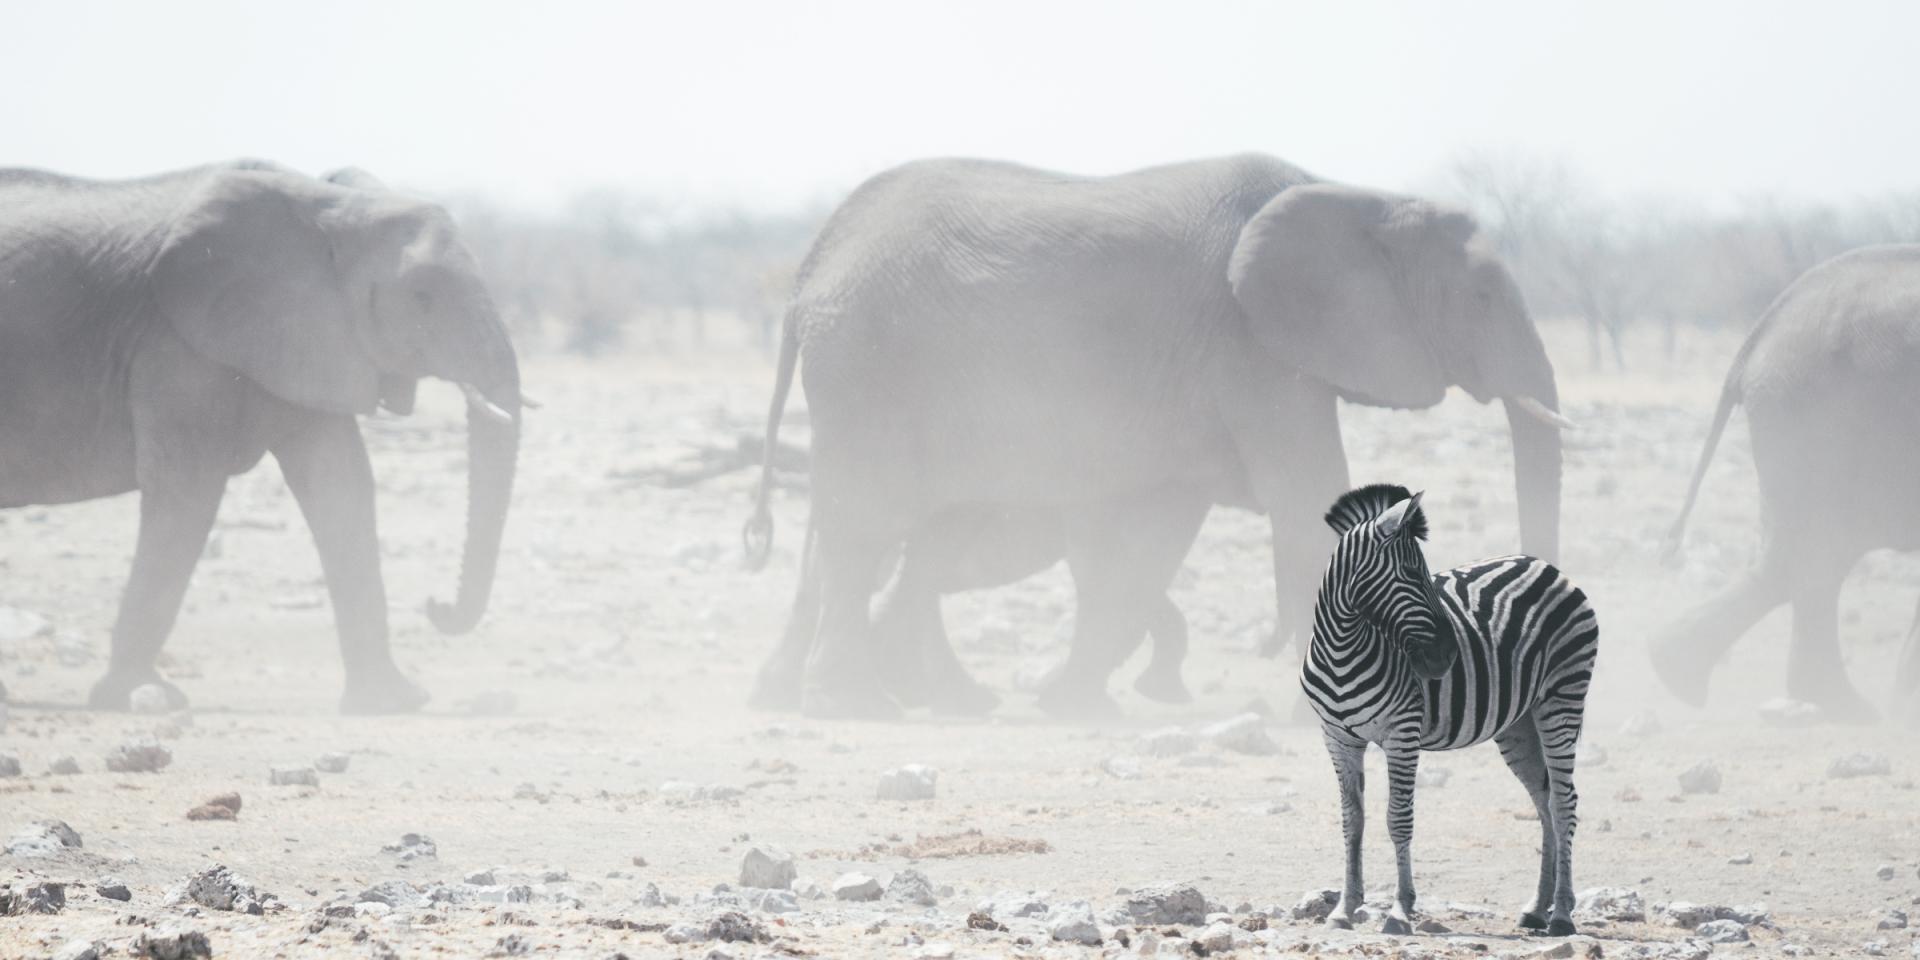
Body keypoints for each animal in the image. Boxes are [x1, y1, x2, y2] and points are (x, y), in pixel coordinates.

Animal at [0, 159, 526, 714]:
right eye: (422, 297)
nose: (435, 605)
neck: (326, 213)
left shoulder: (309, 334)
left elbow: (341, 485)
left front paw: (393, 701)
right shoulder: (175, 343)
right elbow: (188, 491)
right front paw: (143, 695)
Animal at [741, 153, 1566, 718]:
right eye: (1482, 295)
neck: (1357, 195)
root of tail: (810, 272)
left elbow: (1148, 541)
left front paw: (1073, 702)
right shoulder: (1253, 346)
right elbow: (1304, 498)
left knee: (884, 539)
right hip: (868, 363)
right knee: (866, 531)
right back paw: (854, 705)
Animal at [1297, 483, 1597, 933]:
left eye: (1425, 574)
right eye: (1411, 574)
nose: (1447, 656)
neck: (1341, 648)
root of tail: (1546, 565)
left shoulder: (1402, 733)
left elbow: (1398, 819)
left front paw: (1400, 910)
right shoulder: (1337, 738)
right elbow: (1353, 822)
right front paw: (1344, 909)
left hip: (1562, 699)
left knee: (1564, 803)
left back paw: (1561, 913)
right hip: (1518, 725)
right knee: (1543, 802)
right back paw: (1537, 907)